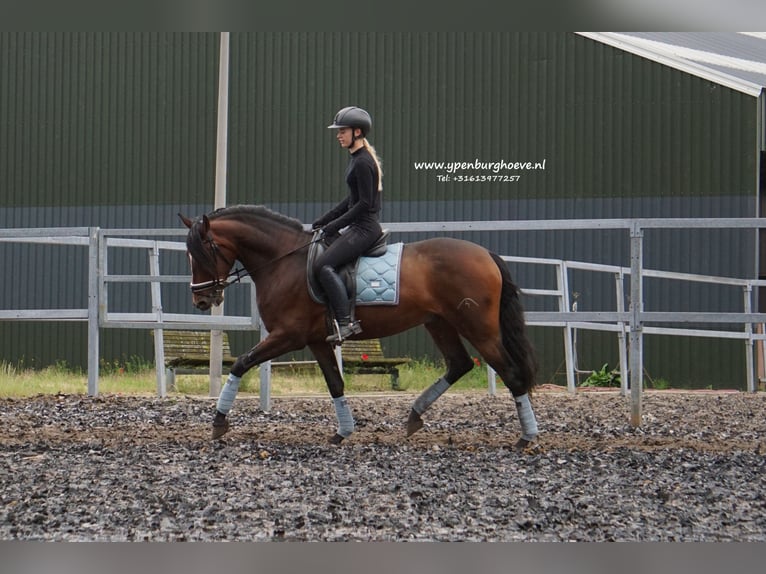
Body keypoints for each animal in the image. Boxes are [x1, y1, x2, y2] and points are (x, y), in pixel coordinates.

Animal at [179, 205, 540, 452]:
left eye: (203, 251)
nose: (201, 299)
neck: (284, 261)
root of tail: (486, 254)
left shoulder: (288, 336)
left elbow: (241, 363)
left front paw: (218, 421)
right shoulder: (318, 340)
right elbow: (335, 383)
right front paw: (343, 432)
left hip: (479, 328)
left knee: (510, 373)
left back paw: (527, 437)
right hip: (439, 323)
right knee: (460, 364)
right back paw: (414, 416)